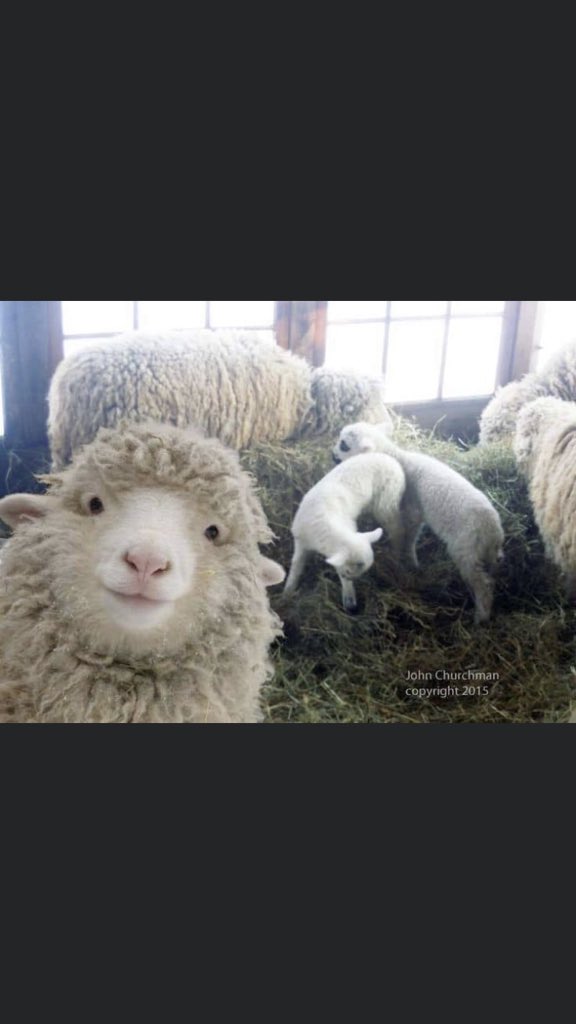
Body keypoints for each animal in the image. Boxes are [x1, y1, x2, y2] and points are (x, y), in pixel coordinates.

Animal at [283, 453, 407, 611]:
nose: (353, 607)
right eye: (347, 572)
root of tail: (391, 459)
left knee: (398, 529)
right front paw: (286, 593)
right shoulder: (301, 542)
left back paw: (397, 555)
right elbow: (296, 567)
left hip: (387, 501)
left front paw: (349, 599)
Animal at [332, 422, 504, 623]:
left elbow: (408, 537)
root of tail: (493, 530)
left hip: (466, 549)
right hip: (485, 553)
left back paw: (480, 617)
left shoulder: (411, 509)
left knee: (483, 584)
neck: (397, 457)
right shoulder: (418, 514)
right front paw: (413, 563)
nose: (332, 456)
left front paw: (406, 560)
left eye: (344, 445)